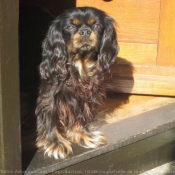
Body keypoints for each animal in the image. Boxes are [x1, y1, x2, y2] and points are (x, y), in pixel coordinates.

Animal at [35, 6, 119, 159]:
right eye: (70, 27)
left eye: (97, 26)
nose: (85, 31)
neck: (80, 63)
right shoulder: (48, 95)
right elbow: (49, 116)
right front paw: (55, 143)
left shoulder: (82, 95)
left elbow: (79, 114)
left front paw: (83, 134)